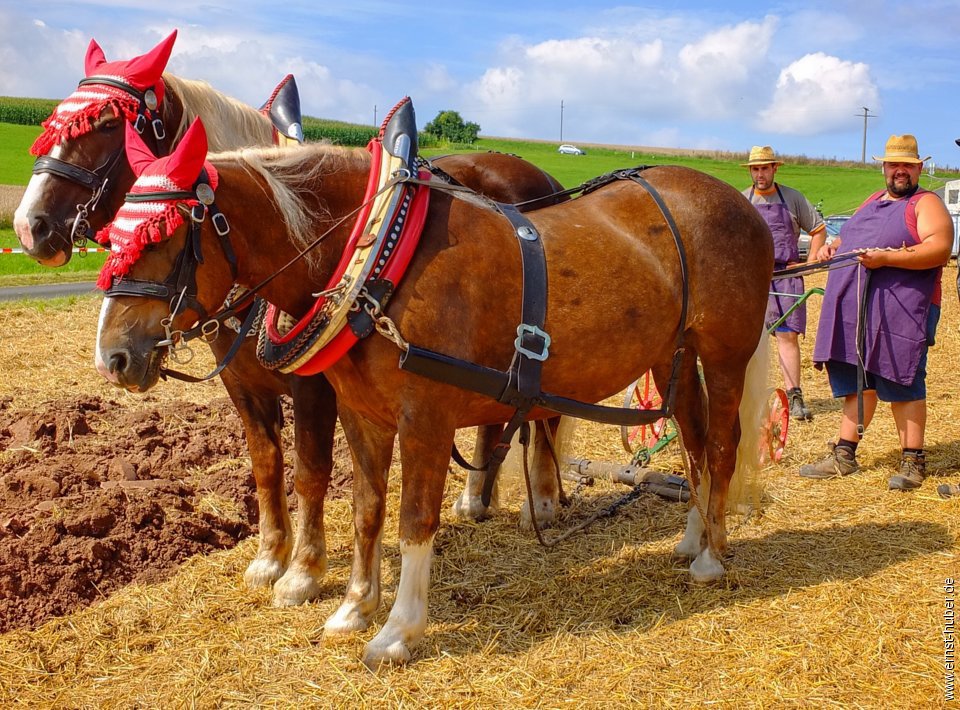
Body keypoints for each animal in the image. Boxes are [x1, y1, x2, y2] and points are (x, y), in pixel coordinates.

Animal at [13, 36, 568, 608]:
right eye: (54, 119)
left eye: (104, 123)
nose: (29, 227)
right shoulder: (243, 386)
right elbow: (265, 466)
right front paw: (269, 557)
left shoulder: (316, 388)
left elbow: (310, 472)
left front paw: (303, 570)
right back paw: (477, 497)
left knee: (544, 412)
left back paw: (543, 501)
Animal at [95, 119, 772, 672]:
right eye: (110, 236)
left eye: (164, 234)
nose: (113, 356)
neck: (378, 260)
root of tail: (735, 201)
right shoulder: (362, 416)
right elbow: (366, 510)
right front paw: (352, 608)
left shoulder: (426, 418)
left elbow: (413, 519)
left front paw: (398, 631)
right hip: (672, 355)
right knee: (692, 439)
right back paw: (691, 537)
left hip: (724, 354)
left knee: (721, 443)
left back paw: (713, 557)